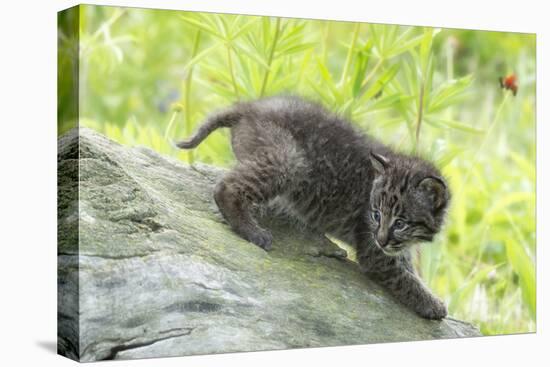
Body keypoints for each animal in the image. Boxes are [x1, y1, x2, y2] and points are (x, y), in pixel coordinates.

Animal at [178, 96, 452, 320]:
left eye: (400, 223)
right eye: (376, 214)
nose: (382, 239)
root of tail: (251, 107)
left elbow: (408, 270)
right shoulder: (375, 255)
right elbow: (405, 280)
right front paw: (434, 305)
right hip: (290, 160)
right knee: (225, 186)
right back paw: (252, 231)